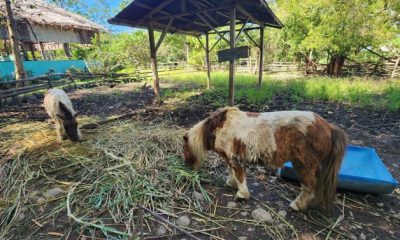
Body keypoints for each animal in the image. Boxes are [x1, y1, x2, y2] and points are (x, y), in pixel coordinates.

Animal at [184, 107, 346, 212]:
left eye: (184, 148)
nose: (187, 166)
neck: (220, 127)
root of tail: (329, 127)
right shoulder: (230, 158)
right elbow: (231, 171)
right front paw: (231, 183)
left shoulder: (235, 158)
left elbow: (239, 175)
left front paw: (241, 194)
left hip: (304, 165)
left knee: (309, 187)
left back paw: (297, 205)